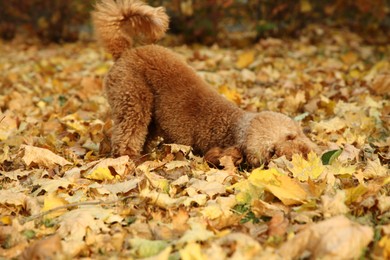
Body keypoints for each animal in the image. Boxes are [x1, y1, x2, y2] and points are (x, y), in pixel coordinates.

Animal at [93, 0, 318, 167]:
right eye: (271, 152)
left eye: (290, 136)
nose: (301, 157)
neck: (233, 125)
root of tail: (125, 51)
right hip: (132, 100)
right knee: (127, 136)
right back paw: (130, 160)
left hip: (151, 116)